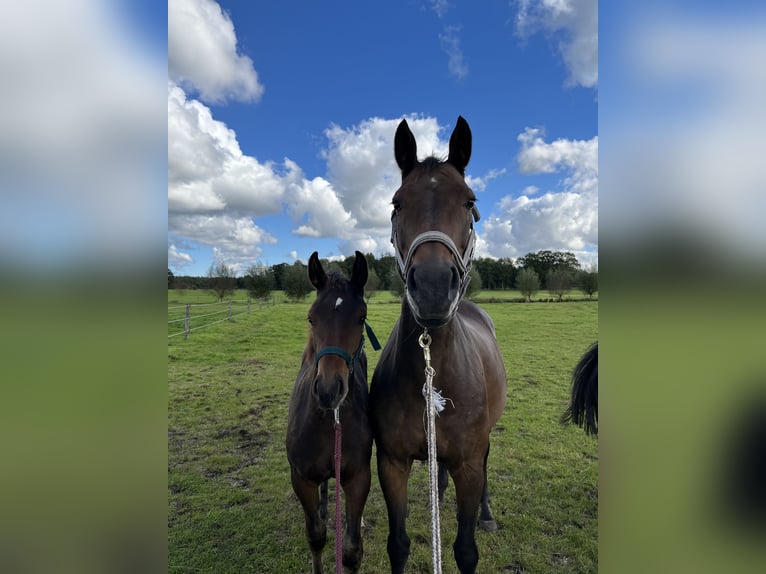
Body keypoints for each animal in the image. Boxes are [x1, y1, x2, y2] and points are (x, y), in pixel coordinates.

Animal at [286, 252, 374, 574]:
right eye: (311, 317)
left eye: (361, 317)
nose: (327, 390)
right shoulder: (301, 478)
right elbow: (316, 536)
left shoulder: (358, 477)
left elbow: (351, 550)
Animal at [372, 118, 510, 574]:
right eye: (397, 204)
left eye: (469, 201)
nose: (433, 287)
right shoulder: (391, 463)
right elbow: (398, 544)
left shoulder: (468, 463)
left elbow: (465, 550)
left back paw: (486, 513)